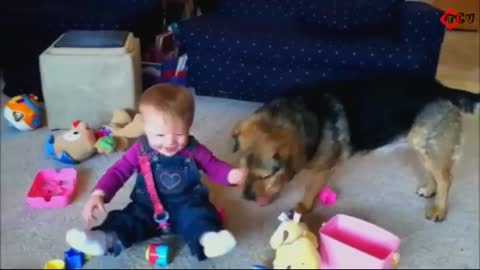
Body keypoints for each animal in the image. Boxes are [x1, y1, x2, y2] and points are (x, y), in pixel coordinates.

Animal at [231, 77, 478, 221]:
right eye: (243, 167)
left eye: (266, 174)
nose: (246, 198)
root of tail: (443, 89)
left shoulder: (323, 169)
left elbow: (310, 189)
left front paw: (302, 208)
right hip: (422, 144)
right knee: (434, 172)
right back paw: (429, 189)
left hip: (428, 144)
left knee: (446, 178)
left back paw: (439, 209)